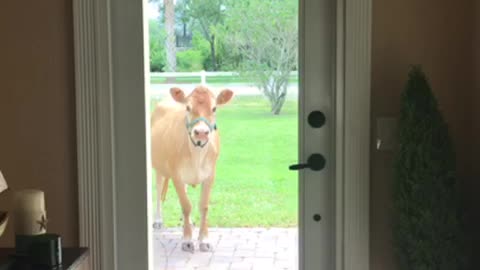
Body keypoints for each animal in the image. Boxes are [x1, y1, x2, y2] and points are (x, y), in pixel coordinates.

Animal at [150, 85, 232, 252]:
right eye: (188, 107)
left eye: (214, 108)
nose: (201, 132)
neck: (197, 155)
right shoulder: (176, 175)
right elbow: (186, 205)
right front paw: (187, 240)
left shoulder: (210, 175)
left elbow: (204, 206)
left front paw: (204, 239)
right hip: (159, 167)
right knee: (159, 191)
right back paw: (158, 220)